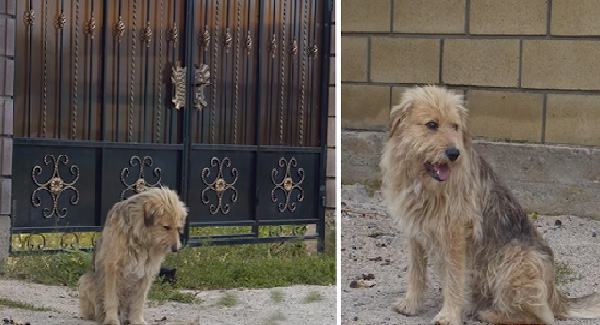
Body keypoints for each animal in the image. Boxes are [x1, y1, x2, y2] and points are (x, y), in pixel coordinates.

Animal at [78, 186, 188, 322]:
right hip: (85, 280)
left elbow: (139, 301)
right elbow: (111, 299)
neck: (140, 237)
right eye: (166, 227)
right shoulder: (112, 268)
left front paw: (137, 320)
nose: (176, 249)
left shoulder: (146, 271)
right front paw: (111, 320)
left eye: (178, 228)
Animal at [380, 85, 600, 322]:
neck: (426, 185)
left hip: (516, 260)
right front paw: (410, 303)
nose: (454, 153)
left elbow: (455, 278)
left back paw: (490, 314)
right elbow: (416, 272)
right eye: (432, 125)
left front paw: (449, 315)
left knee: (539, 318)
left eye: (455, 126)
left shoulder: (455, 235)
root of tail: (556, 296)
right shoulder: (415, 232)